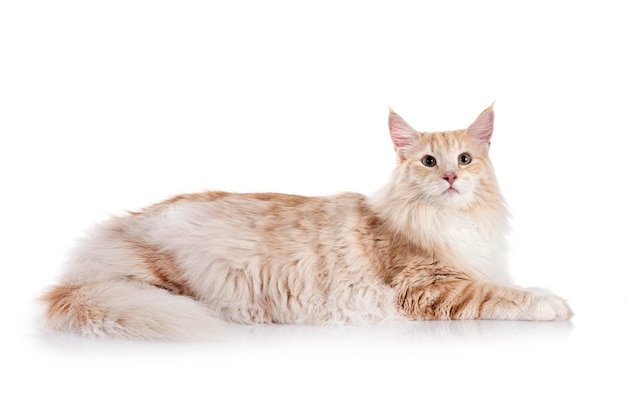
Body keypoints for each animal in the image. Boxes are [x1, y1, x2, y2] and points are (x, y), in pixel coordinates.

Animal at [39, 106, 572, 342]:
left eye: (464, 159)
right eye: (427, 161)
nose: (450, 177)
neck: (447, 220)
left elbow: (505, 285)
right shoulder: (432, 287)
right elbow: (500, 295)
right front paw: (554, 304)